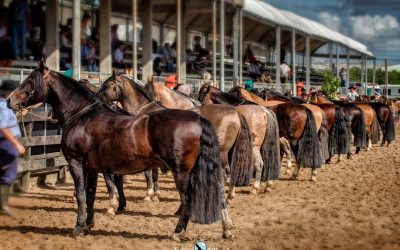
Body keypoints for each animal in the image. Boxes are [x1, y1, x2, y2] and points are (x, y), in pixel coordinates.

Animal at [98, 73, 252, 203]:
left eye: (106, 85)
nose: (98, 97)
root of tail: (235, 112)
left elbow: (148, 173)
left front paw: (149, 194)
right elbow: (154, 173)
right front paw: (156, 193)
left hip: (222, 151)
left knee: (225, 171)